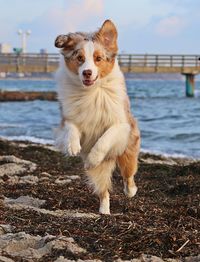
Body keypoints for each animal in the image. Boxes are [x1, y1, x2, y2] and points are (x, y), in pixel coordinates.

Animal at [54, 20, 140, 215]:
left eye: (98, 59)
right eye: (80, 58)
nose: (86, 72)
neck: (91, 91)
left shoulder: (121, 124)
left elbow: (104, 139)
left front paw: (93, 158)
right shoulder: (69, 117)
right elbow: (71, 127)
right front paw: (72, 146)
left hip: (127, 150)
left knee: (128, 175)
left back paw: (130, 191)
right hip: (101, 173)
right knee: (103, 190)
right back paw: (104, 211)